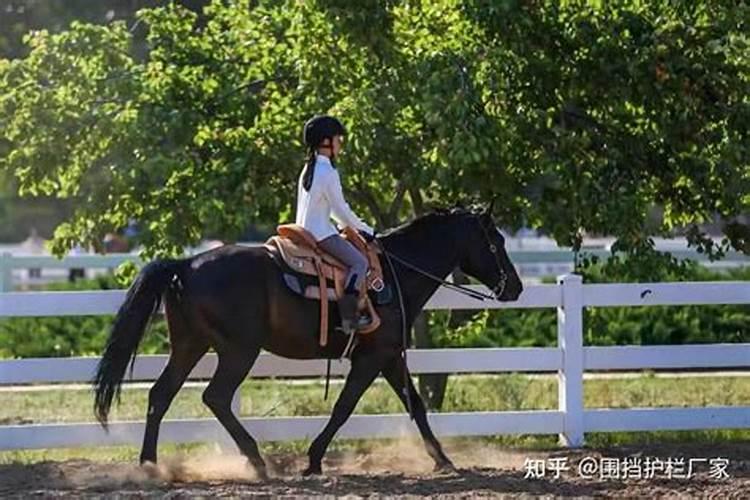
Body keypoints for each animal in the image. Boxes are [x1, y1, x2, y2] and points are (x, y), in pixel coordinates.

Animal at [92, 204, 524, 480]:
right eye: (496, 242)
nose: (515, 288)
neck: (396, 272)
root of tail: (185, 265)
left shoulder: (389, 357)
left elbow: (415, 405)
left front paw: (443, 460)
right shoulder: (372, 358)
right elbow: (344, 407)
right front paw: (314, 460)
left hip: (189, 346)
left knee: (160, 395)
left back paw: (150, 465)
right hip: (237, 351)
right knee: (215, 397)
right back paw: (257, 461)